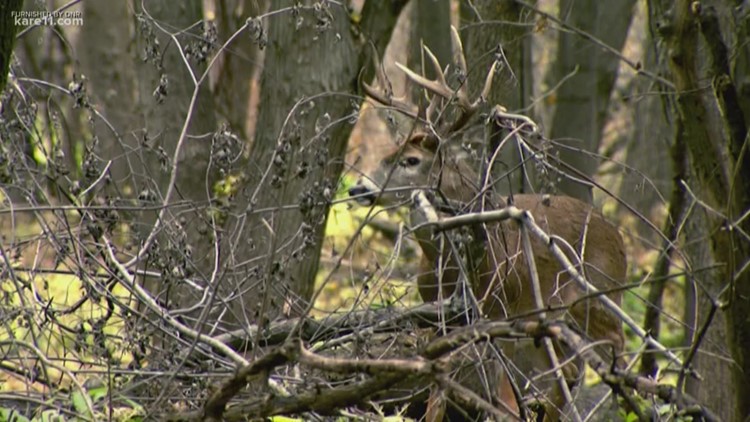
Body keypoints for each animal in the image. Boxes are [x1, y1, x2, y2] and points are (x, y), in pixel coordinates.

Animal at [349, 28, 627, 421]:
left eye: (410, 160)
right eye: (388, 154)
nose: (358, 187)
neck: (447, 265)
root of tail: (618, 235)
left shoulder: (496, 310)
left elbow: (486, 390)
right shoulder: (440, 318)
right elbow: (439, 381)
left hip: (597, 296)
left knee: (616, 349)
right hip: (548, 319)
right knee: (571, 369)